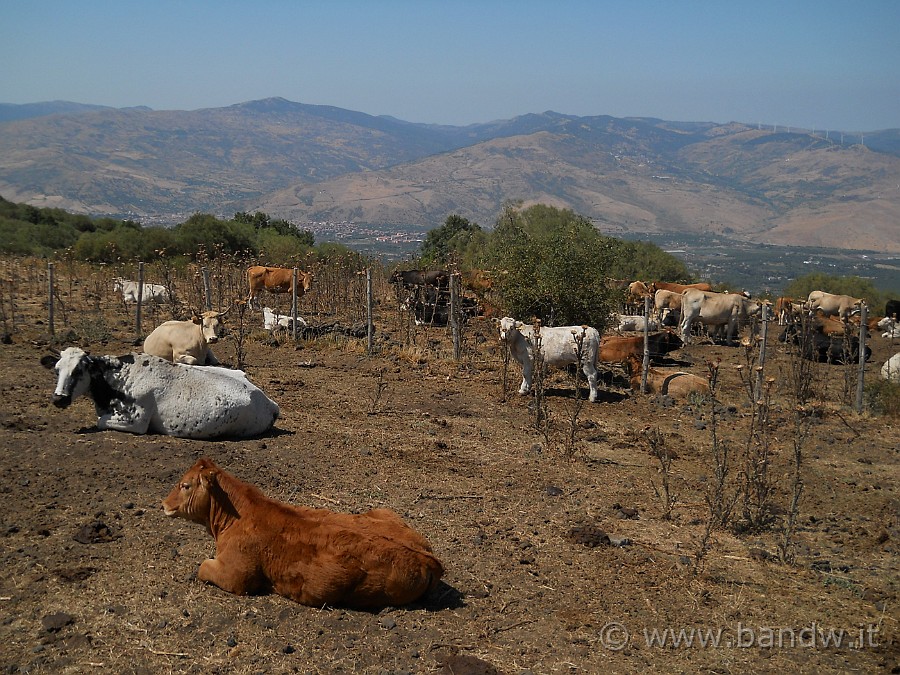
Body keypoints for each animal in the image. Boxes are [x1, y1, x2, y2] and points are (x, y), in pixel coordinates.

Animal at [42, 346, 280, 440]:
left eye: (78, 370)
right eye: (57, 369)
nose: (58, 398)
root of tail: (269, 403)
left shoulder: (136, 422)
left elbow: (100, 421)